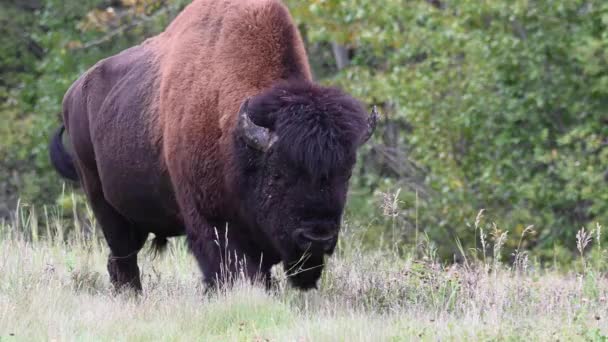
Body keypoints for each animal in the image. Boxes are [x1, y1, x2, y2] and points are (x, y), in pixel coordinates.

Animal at [50, 0, 378, 292]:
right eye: (278, 173)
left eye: (346, 173)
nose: (317, 237)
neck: (238, 141)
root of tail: (73, 93)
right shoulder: (211, 223)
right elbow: (227, 269)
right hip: (102, 202)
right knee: (124, 256)